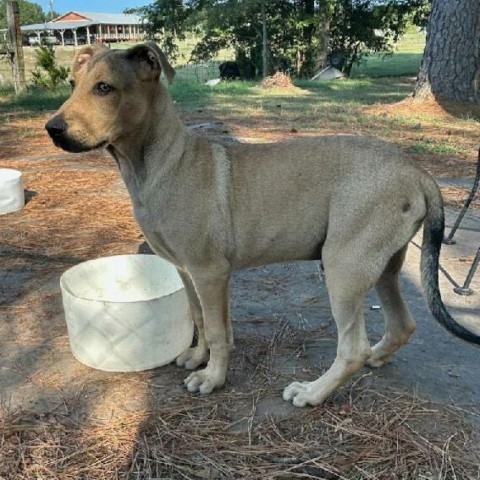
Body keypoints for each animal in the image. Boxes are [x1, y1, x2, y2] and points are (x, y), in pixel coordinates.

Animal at [46, 43, 480, 406]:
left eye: (105, 88)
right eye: (72, 84)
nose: (52, 129)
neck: (160, 162)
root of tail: (417, 172)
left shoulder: (209, 272)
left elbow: (216, 331)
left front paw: (212, 378)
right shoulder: (188, 271)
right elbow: (204, 321)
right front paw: (198, 358)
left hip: (343, 266)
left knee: (351, 349)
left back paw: (312, 392)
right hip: (384, 265)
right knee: (402, 324)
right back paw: (375, 358)